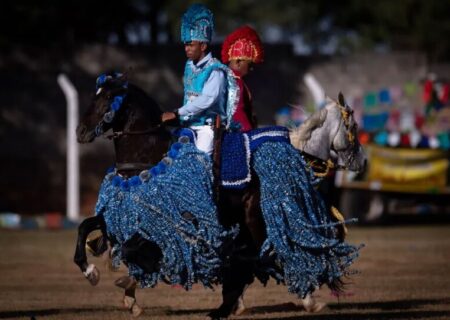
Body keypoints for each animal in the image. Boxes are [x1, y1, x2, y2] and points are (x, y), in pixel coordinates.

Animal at [74, 72, 366, 318]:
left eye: (108, 98)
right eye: (97, 95)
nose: (80, 132)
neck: (148, 157)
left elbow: (132, 247)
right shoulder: (125, 213)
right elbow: (87, 226)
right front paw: (93, 272)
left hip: (254, 220)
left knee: (274, 253)